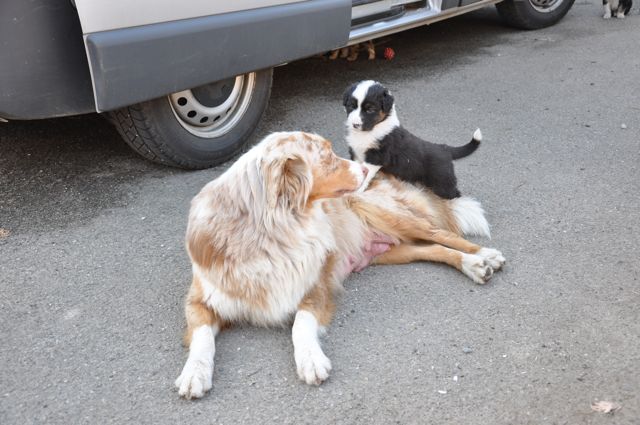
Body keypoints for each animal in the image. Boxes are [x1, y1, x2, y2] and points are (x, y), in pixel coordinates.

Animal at [176, 130, 504, 398]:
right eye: (326, 156)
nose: (368, 169)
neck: (268, 231)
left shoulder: (315, 285)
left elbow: (300, 323)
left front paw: (310, 360)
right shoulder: (199, 300)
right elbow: (202, 337)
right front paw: (194, 373)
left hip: (390, 215)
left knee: (445, 234)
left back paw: (484, 255)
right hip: (397, 250)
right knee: (436, 249)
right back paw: (473, 264)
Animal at [344, 80, 480, 200]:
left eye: (370, 109)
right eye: (351, 106)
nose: (355, 124)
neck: (371, 130)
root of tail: (444, 148)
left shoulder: (376, 157)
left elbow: (365, 174)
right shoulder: (355, 153)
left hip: (442, 180)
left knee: (455, 194)